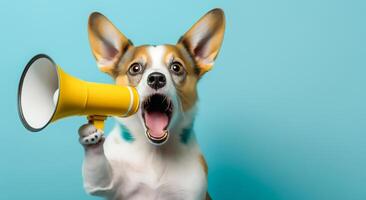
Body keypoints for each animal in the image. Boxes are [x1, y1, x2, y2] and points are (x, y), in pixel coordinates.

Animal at [78, 8, 224, 199]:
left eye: (176, 67)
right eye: (135, 68)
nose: (156, 78)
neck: (155, 151)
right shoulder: (104, 184)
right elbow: (99, 175)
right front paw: (91, 137)